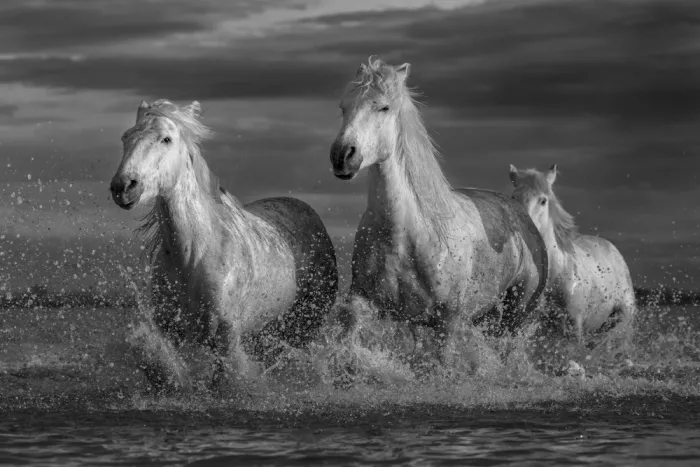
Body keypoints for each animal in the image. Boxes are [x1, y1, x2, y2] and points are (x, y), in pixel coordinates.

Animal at [109, 99, 338, 391]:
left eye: (166, 139)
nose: (124, 187)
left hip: (302, 326)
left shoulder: (226, 337)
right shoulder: (170, 330)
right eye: (126, 137)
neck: (195, 255)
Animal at [327, 57, 548, 372]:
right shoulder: (369, 301)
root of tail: (521, 216)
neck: (410, 233)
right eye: (343, 107)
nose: (343, 155)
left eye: (384, 107)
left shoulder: (448, 320)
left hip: (515, 316)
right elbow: (350, 339)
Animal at [509, 164, 636, 356]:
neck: (557, 273)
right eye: (513, 197)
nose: (523, 228)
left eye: (543, 201)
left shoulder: (574, 326)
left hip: (624, 320)